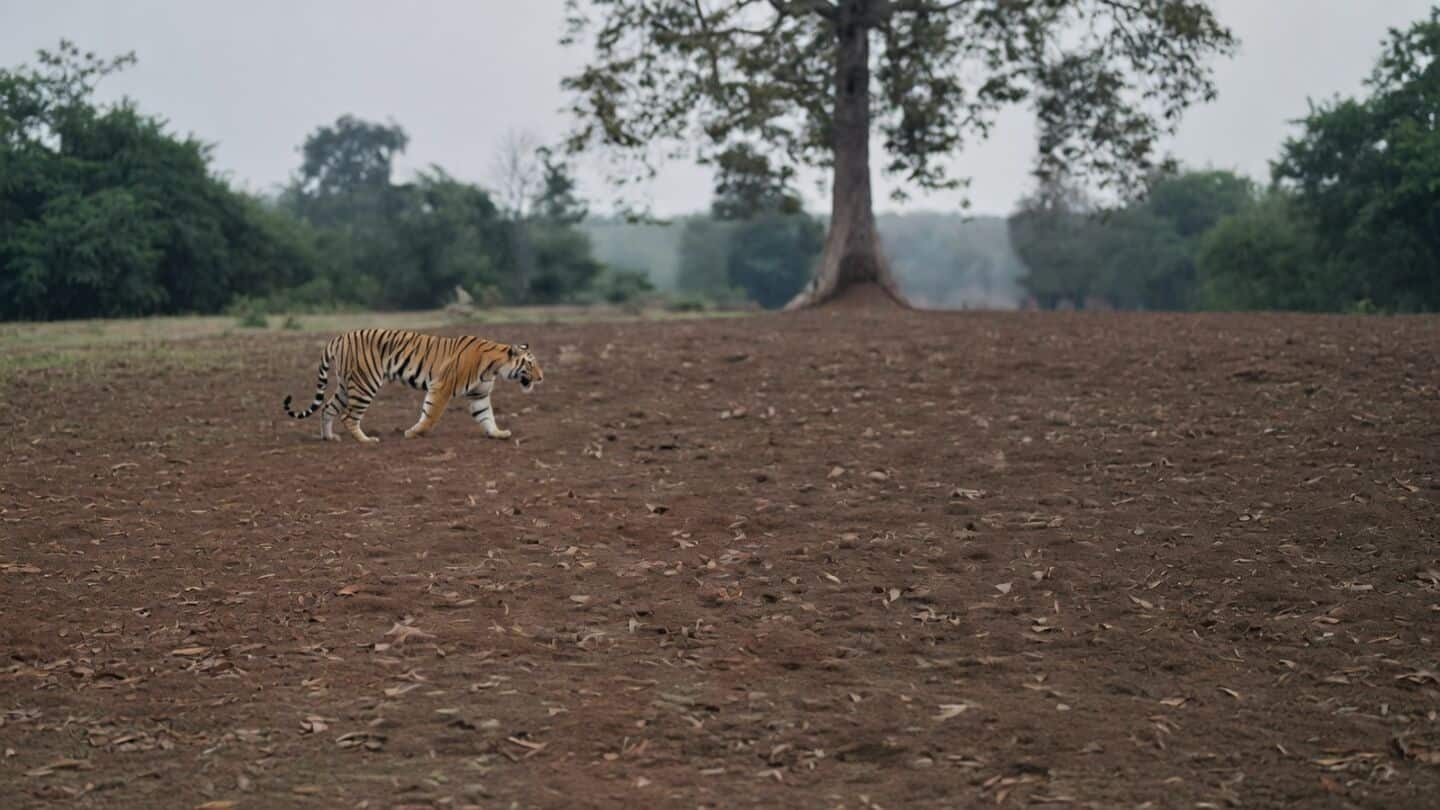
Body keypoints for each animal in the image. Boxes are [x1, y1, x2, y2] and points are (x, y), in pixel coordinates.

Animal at [282, 329, 543, 443]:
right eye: (530, 363)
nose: (541, 378)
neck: (494, 366)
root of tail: (339, 337)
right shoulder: (441, 387)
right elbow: (430, 415)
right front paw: (413, 433)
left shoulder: (479, 395)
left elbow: (486, 416)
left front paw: (498, 433)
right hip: (365, 383)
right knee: (348, 416)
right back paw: (366, 440)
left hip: (347, 385)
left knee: (327, 409)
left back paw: (329, 437)